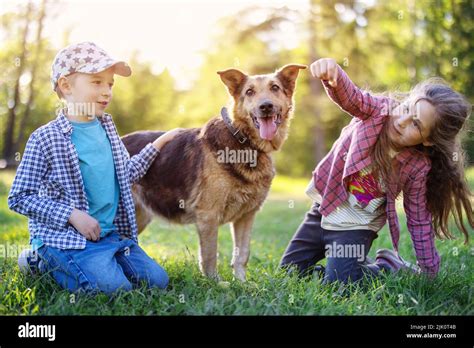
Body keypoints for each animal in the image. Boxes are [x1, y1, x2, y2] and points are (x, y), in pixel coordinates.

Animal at [122, 64, 306, 282]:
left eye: (275, 87)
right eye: (249, 92)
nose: (266, 106)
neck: (243, 141)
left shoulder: (246, 216)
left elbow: (242, 254)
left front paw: (241, 283)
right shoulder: (208, 216)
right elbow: (210, 255)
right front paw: (215, 283)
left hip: (139, 217)